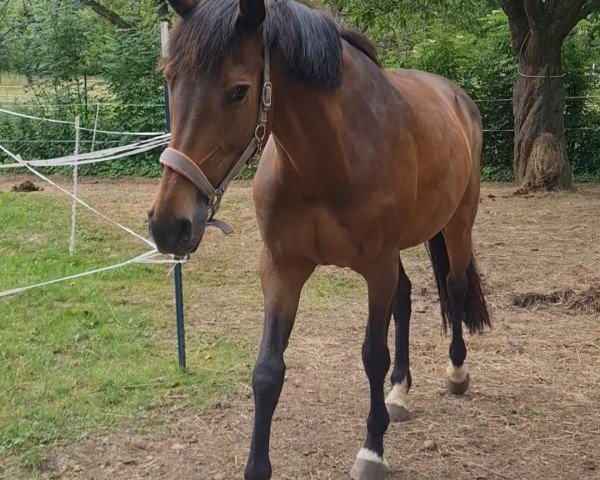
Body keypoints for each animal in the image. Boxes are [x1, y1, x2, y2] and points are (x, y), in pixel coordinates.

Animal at [148, 1, 490, 478]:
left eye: (238, 91)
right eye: (170, 80)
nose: (169, 225)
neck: (330, 159)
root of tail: (458, 99)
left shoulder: (376, 267)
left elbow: (372, 355)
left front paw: (372, 450)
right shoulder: (282, 267)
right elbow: (267, 371)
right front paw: (257, 466)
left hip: (457, 224)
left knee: (454, 288)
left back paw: (456, 372)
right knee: (404, 299)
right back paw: (399, 392)